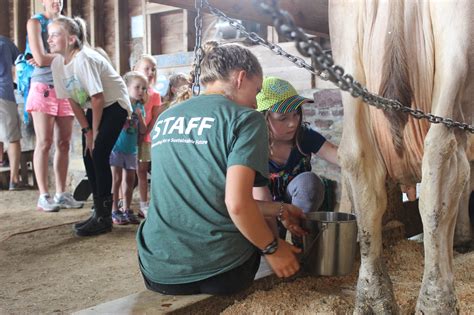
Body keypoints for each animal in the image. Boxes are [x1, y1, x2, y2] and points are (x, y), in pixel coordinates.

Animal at [328, 0, 472, 314]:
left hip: (346, 50)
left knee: (357, 159)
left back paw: (374, 298)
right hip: (457, 38)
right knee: (441, 152)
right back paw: (438, 300)